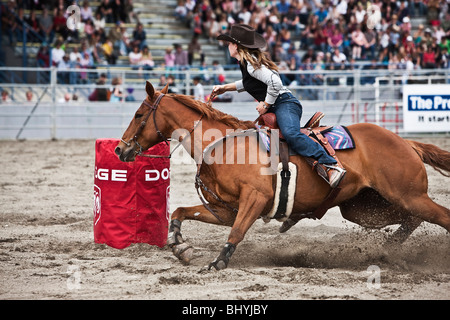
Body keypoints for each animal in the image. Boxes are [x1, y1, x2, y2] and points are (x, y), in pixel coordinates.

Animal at [116, 82, 450, 270]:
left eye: (138, 114)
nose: (120, 149)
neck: (223, 144)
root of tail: (406, 142)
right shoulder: (225, 208)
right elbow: (180, 211)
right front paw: (180, 247)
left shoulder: (254, 199)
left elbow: (236, 232)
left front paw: (217, 262)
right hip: (364, 208)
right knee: (412, 219)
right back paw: (388, 248)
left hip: (408, 195)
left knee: (439, 215)